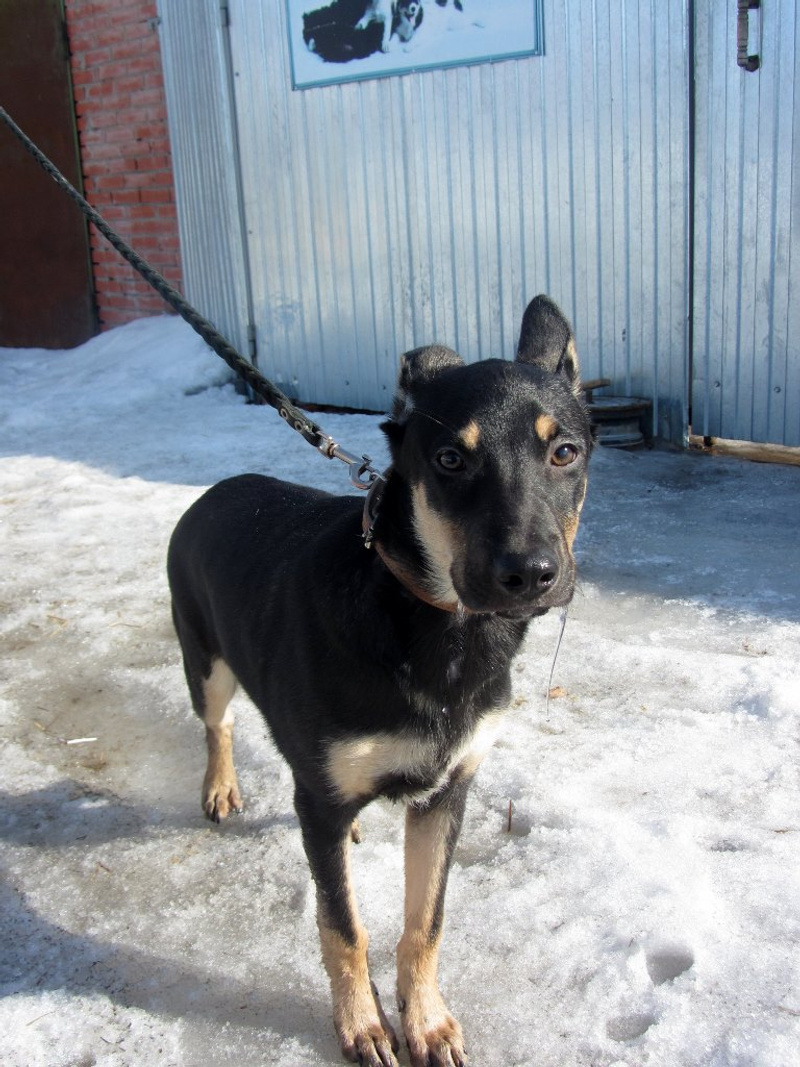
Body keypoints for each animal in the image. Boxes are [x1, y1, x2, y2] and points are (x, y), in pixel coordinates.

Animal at [167, 296, 592, 1067]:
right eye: (450, 459)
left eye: (564, 452)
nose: (531, 574)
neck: (435, 626)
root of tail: (217, 488)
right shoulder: (331, 795)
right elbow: (344, 928)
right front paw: (362, 1024)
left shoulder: (447, 793)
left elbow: (425, 922)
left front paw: (425, 1019)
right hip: (205, 662)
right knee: (220, 724)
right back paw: (221, 786)